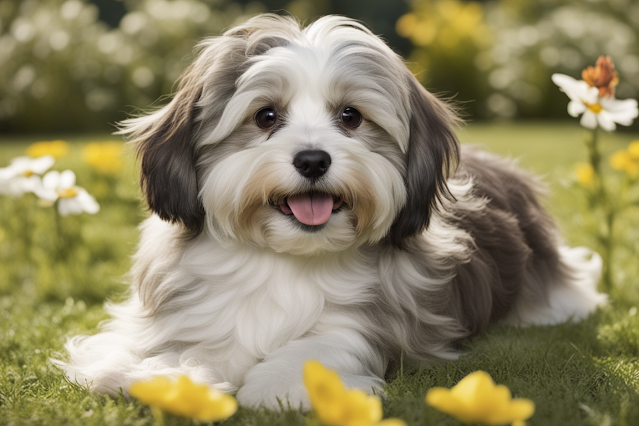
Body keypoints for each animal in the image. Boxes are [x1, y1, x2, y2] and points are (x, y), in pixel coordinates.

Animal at [57, 14, 608, 410]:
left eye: (350, 116)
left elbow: (322, 346)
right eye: (266, 116)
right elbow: (181, 345)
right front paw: (166, 376)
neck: (285, 259)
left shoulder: (383, 318)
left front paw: (288, 383)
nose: (312, 159)